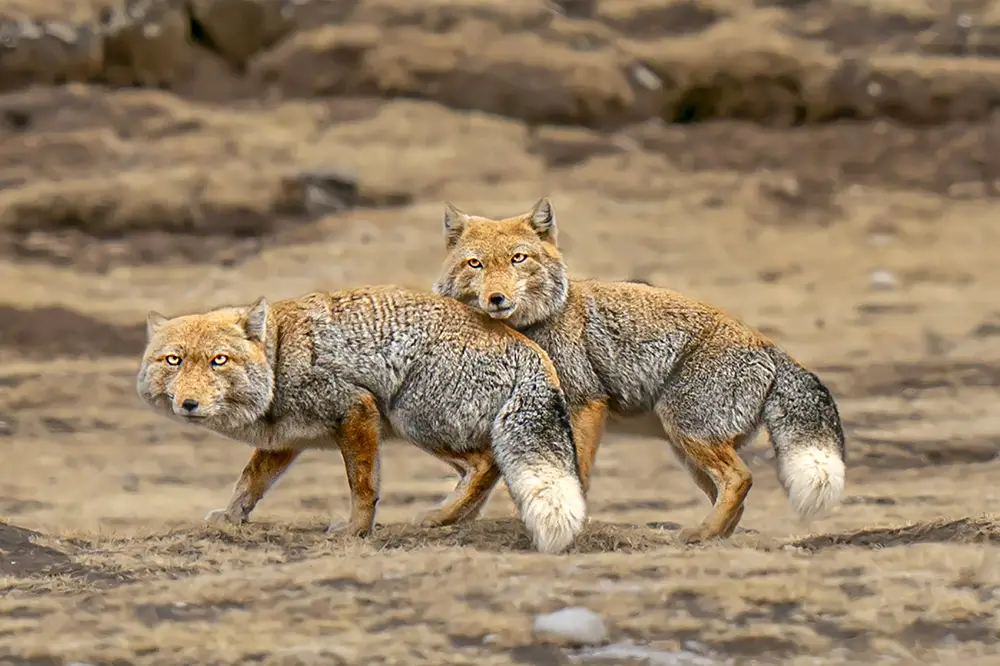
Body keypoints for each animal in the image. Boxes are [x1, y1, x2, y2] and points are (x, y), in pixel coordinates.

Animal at [134, 286, 584, 548]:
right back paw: (451, 517)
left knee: (487, 463)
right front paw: (230, 518)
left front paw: (356, 531)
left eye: (218, 361)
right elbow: (248, 482)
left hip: (412, 420)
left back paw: (440, 516)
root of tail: (530, 347)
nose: (188, 403)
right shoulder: (282, 442)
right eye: (173, 361)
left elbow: (363, 485)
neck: (278, 361)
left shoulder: (355, 410)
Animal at [434, 200, 848, 544]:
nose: (496, 299)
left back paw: (701, 534)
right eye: (475, 264)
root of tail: (769, 346)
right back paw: (712, 534)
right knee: (735, 492)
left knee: (740, 479)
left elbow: (575, 472)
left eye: (518, 259)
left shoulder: (585, 403)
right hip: (688, 450)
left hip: (686, 432)